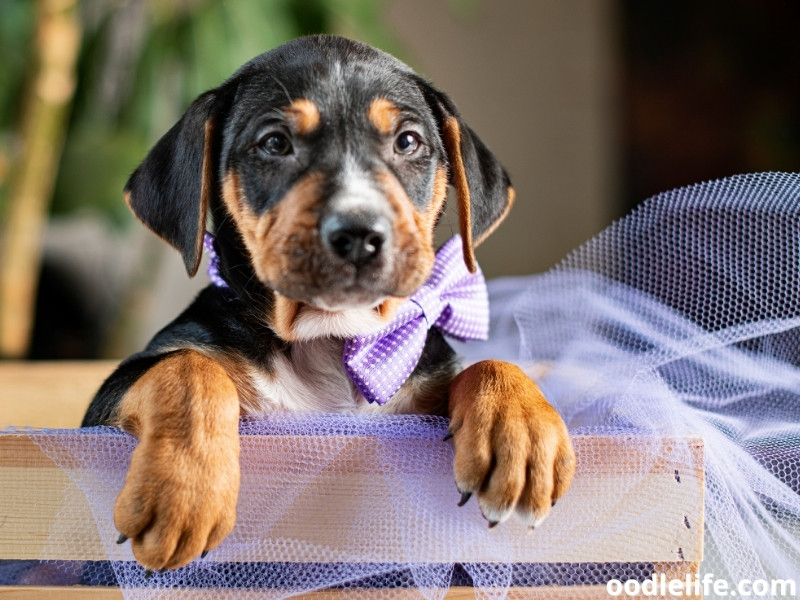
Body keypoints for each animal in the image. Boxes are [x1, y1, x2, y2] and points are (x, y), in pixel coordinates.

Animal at [83, 35, 576, 568]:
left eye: (408, 142)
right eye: (275, 143)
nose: (359, 234)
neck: (332, 337)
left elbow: (490, 364)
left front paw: (522, 436)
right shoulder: (107, 402)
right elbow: (187, 368)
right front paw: (184, 493)